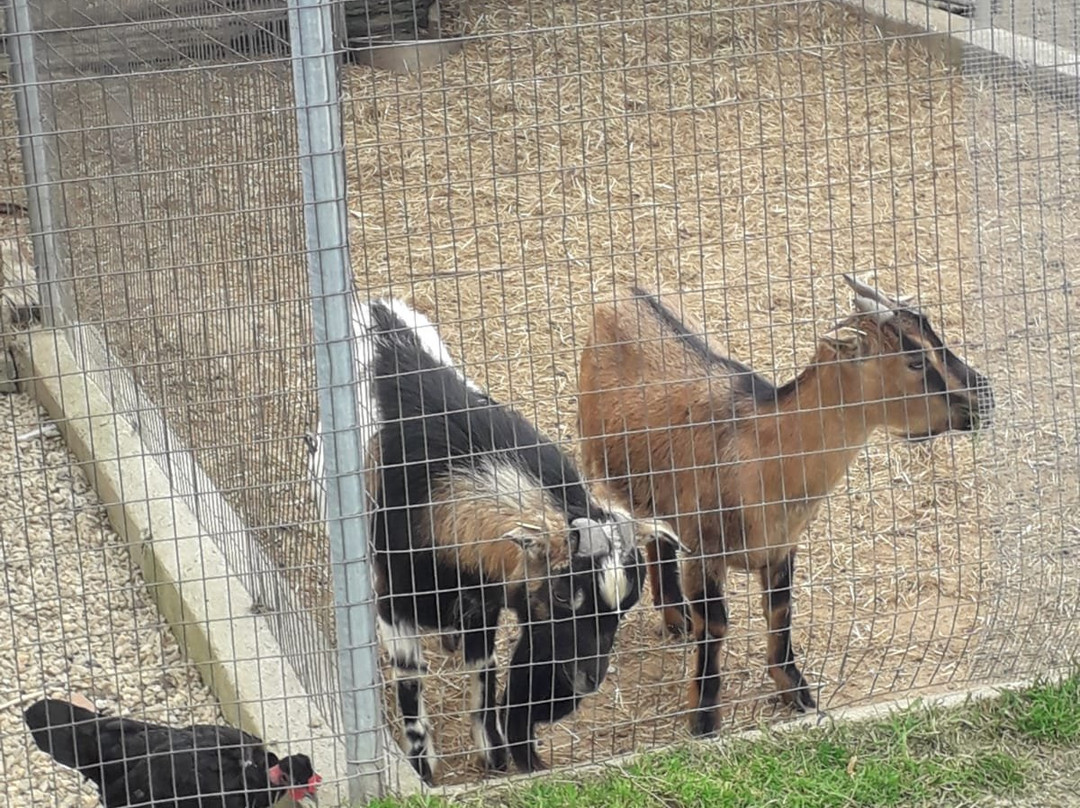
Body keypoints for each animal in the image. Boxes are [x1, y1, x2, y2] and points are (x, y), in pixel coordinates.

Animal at [304, 298, 678, 782]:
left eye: (627, 604)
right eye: (563, 595)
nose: (585, 681)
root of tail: (375, 307)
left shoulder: (483, 598)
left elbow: (484, 670)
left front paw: (494, 754)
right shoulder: (396, 598)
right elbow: (410, 678)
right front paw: (422, 767)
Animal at [574, 274, 993, 734]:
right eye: (916, 360)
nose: (984, 397)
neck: (764, 448)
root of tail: (621, 292)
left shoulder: (782, 545)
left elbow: (780, 611)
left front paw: (796, 691)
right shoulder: (706, 548)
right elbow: (715, 623)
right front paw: (704, 717)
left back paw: (675, 618)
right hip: (600, 462)